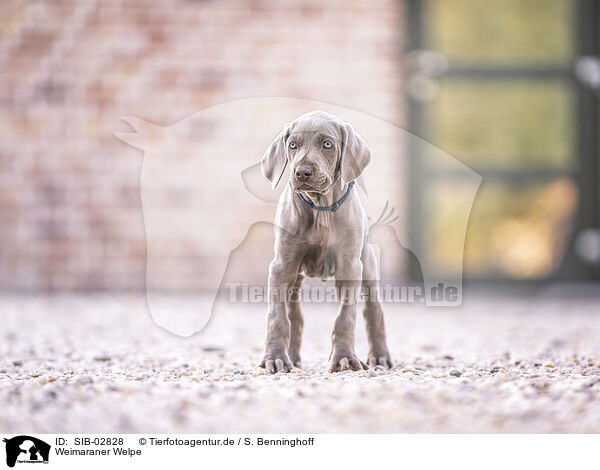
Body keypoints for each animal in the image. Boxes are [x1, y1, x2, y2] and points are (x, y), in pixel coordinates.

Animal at [258, 111, 394, 374]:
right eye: (292, 145)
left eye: (328, 144)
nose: (302, 172)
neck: (319, 209)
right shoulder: (281, 266)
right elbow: (277, 316)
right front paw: (275, 358)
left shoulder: (350, 266)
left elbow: (345, 316)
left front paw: (344, 358)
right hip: (294, 277)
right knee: (294, 315)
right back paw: (292, 357)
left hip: (367, 266)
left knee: (374, 311)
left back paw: (380, 357)